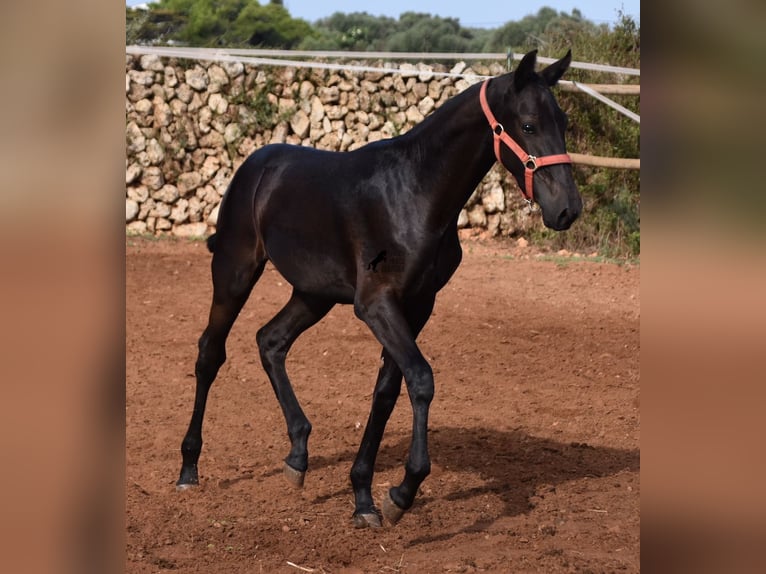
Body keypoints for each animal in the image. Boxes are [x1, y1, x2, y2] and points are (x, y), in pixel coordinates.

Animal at [176, 50, 584, 532]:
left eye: (563, 121)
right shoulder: (375, 304)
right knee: (210, 352)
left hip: (313, 294)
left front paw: (364, 497)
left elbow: (388, 391)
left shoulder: (418, 304)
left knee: (270, 341)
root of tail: (256, 165)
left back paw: (297, 456)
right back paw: (188, 468)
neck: (414, 194)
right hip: (235, 271)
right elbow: (421, 379)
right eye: (528, 125)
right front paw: (402, 493)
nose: (568, 210)